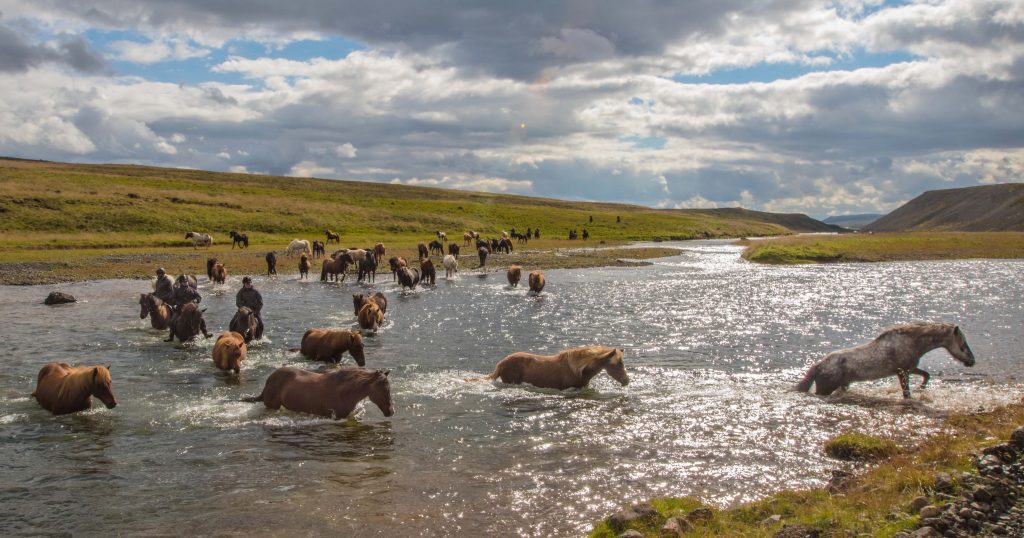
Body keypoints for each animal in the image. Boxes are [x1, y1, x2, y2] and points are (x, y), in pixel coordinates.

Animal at [790, 319, 974, 397]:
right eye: (963, 344)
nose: (972, 361)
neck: (912, 341)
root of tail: (819, 365)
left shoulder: (911, 368)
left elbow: (926, 375)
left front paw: (921, 388)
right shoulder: (902, 372)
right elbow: (906, 393)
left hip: (842, 385)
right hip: (825, 388)